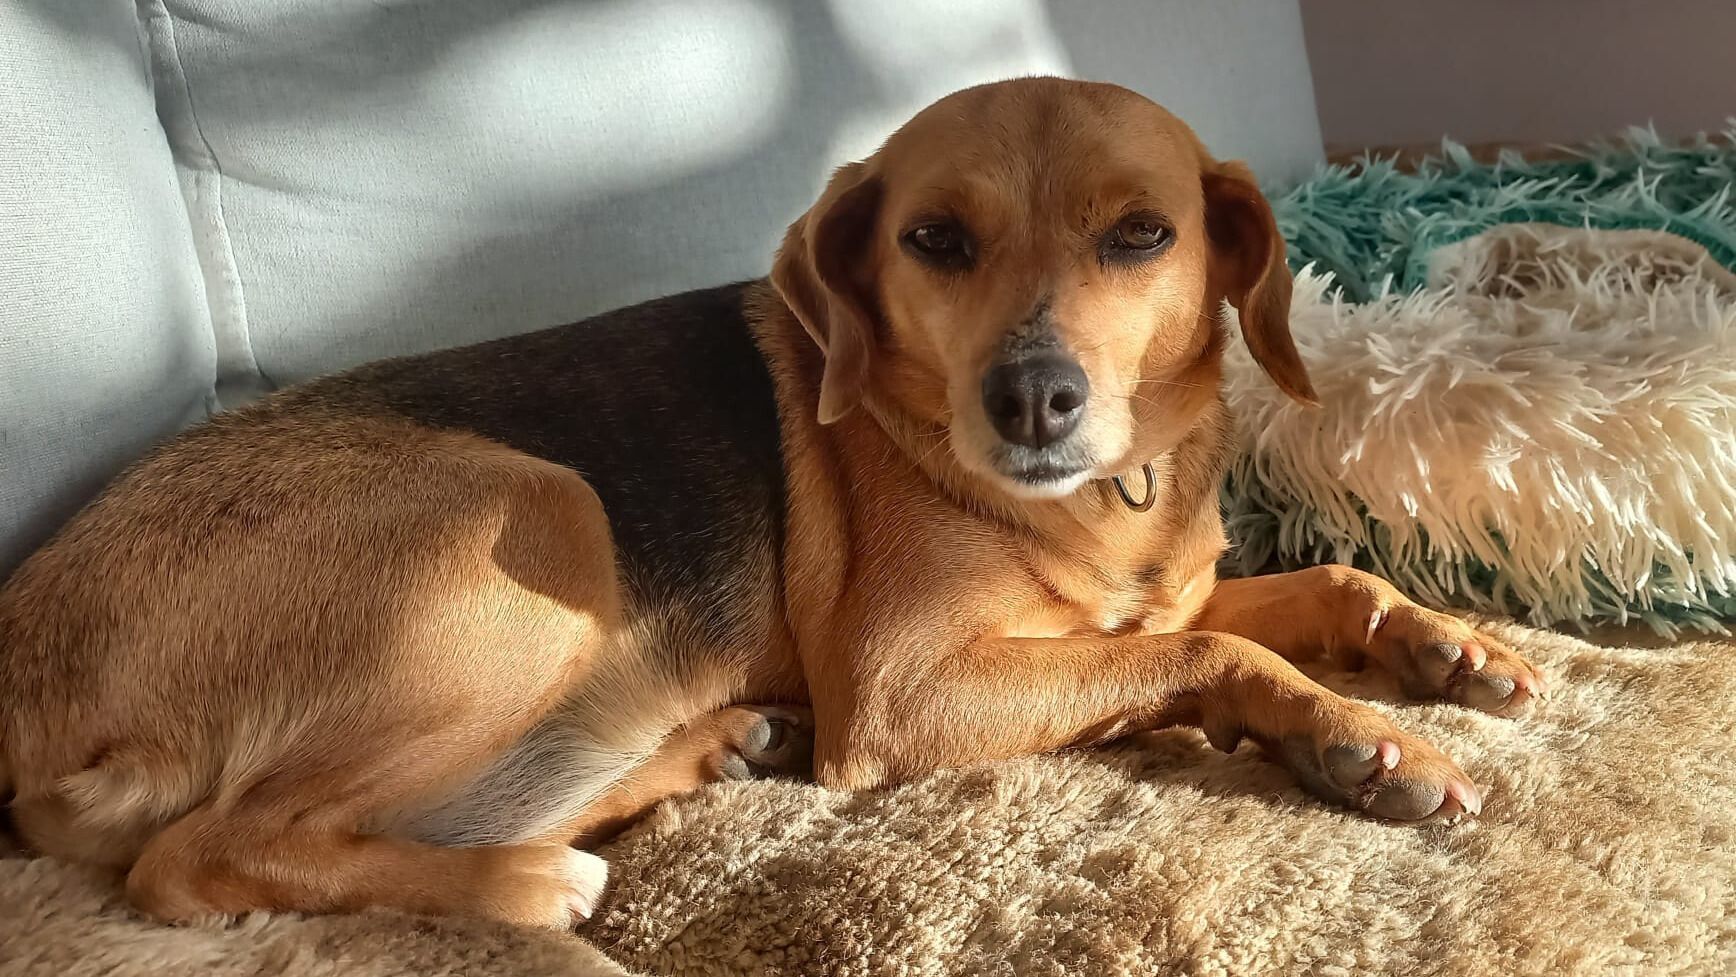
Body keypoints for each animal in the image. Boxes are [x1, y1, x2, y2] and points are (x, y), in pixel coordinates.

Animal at [0, 77, 1545, 929]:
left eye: (1141, 234)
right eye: (934, 240)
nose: (1031, 400)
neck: (1117, 494)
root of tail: (25, 665)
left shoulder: (1144, 599)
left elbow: (1301, 593)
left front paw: (1439, 645)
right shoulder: (905, 693)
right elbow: (1214, 648)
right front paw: (1357, 740)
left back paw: (708, 748)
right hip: (540, 510)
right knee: (201, 858)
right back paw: (530, 886)